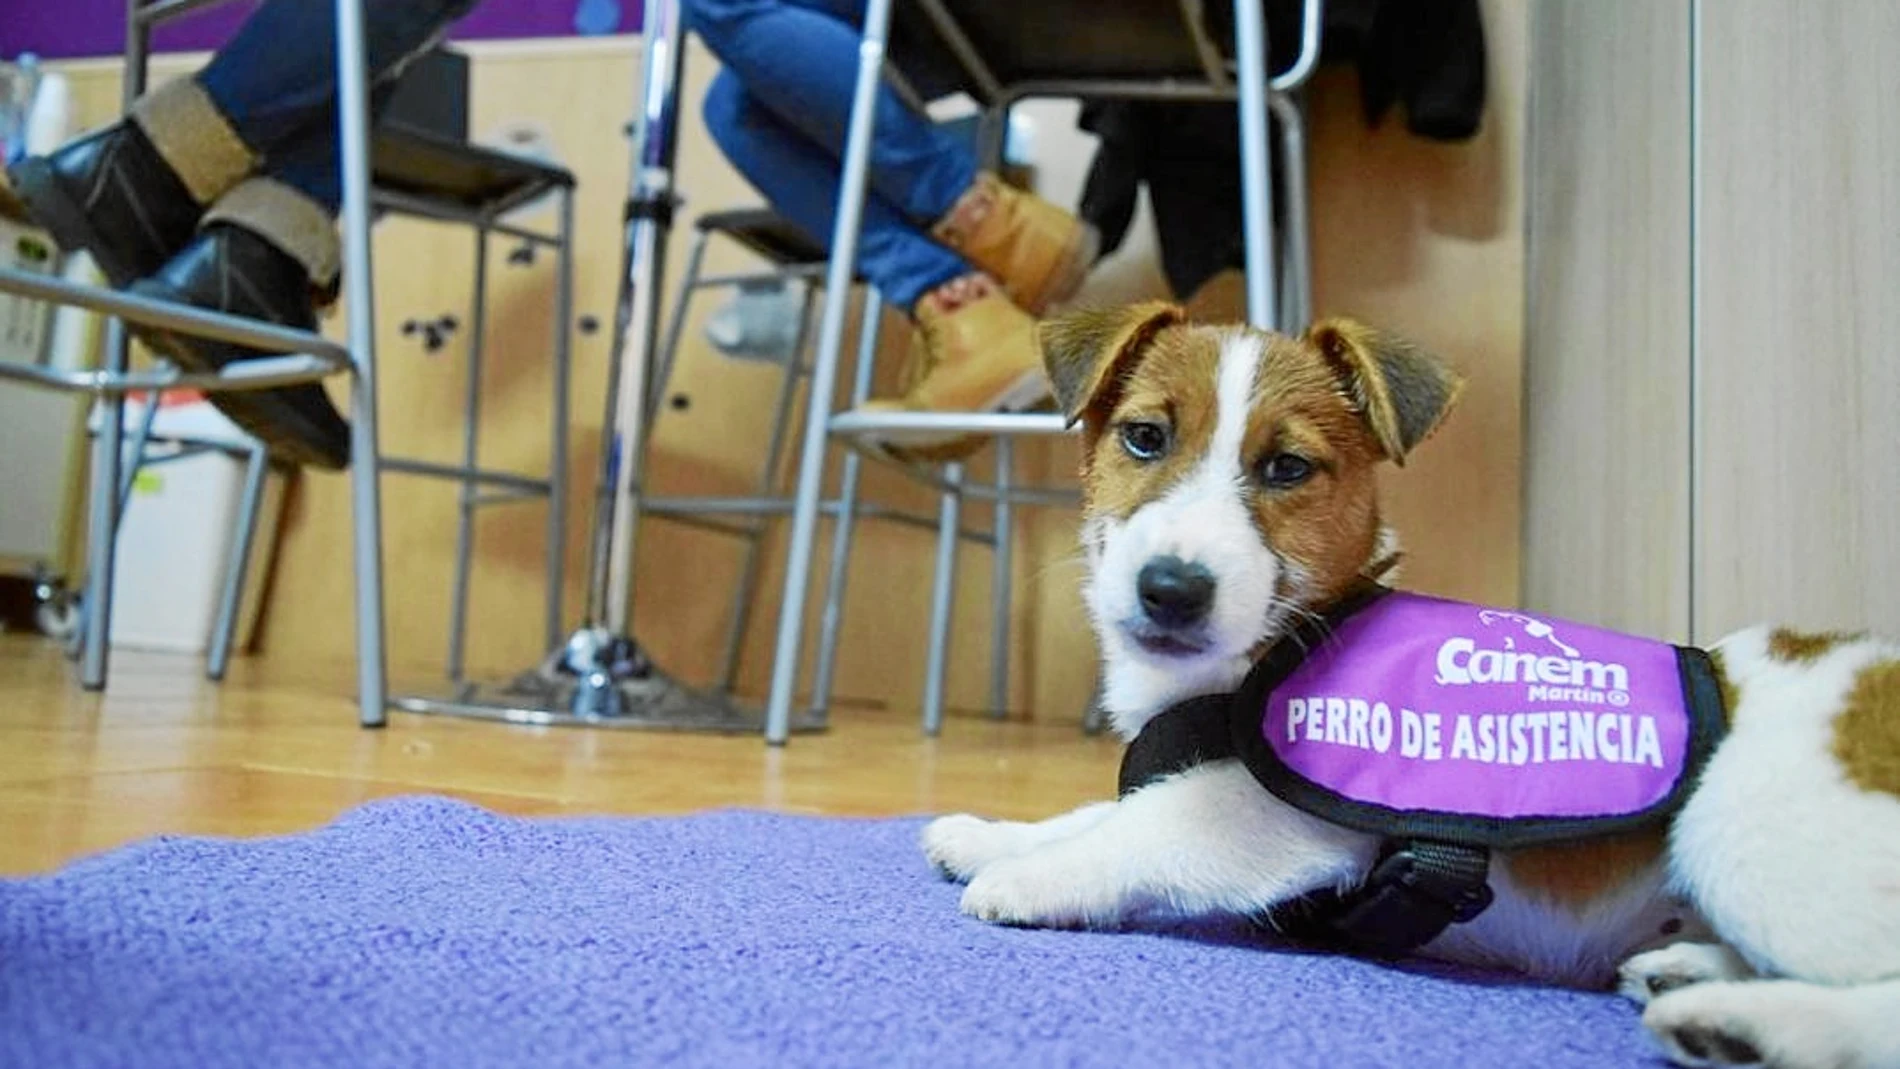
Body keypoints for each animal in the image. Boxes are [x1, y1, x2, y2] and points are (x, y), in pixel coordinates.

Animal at [919, 303, 1900, 1069]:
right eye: (1145, 437)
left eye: (1286, 467)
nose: (1170, 588)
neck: (1262, 660)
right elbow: (1098, 806)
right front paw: (994, 832)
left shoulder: (1277, 823)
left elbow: (1142, 825)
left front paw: (1030, 874)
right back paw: (1693, 972)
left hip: (1746, 831)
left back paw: (1744, 1020)